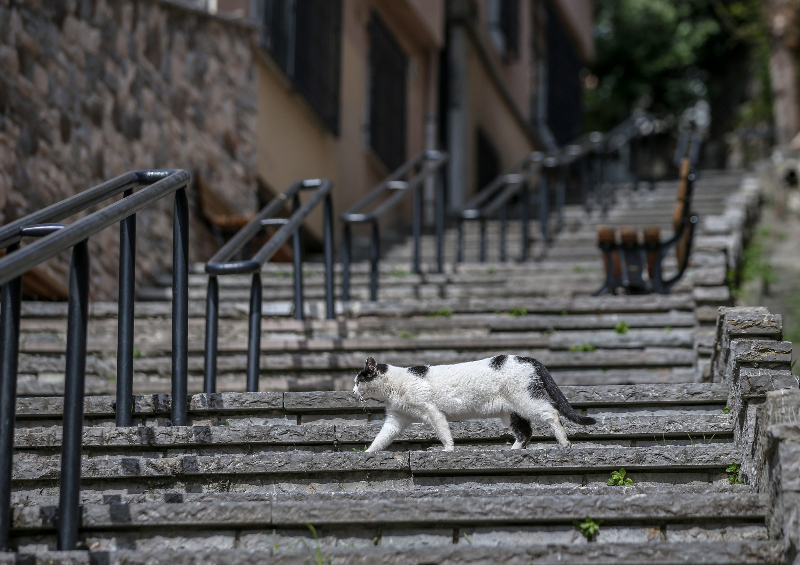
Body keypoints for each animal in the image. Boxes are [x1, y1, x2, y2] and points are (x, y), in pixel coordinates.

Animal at [354, 356, 592, 450]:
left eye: (358, 380)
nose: (353, 390)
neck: (395, 386)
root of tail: (528, 359)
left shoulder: (432, 411)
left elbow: (443, 432)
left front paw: (448, 450)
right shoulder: (396, 418)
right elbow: (382, 438)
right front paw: (368, 453)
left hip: (526, 400)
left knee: (552, 414)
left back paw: (564, 443)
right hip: (513, 411)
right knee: (525, 432)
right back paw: (513, 450)